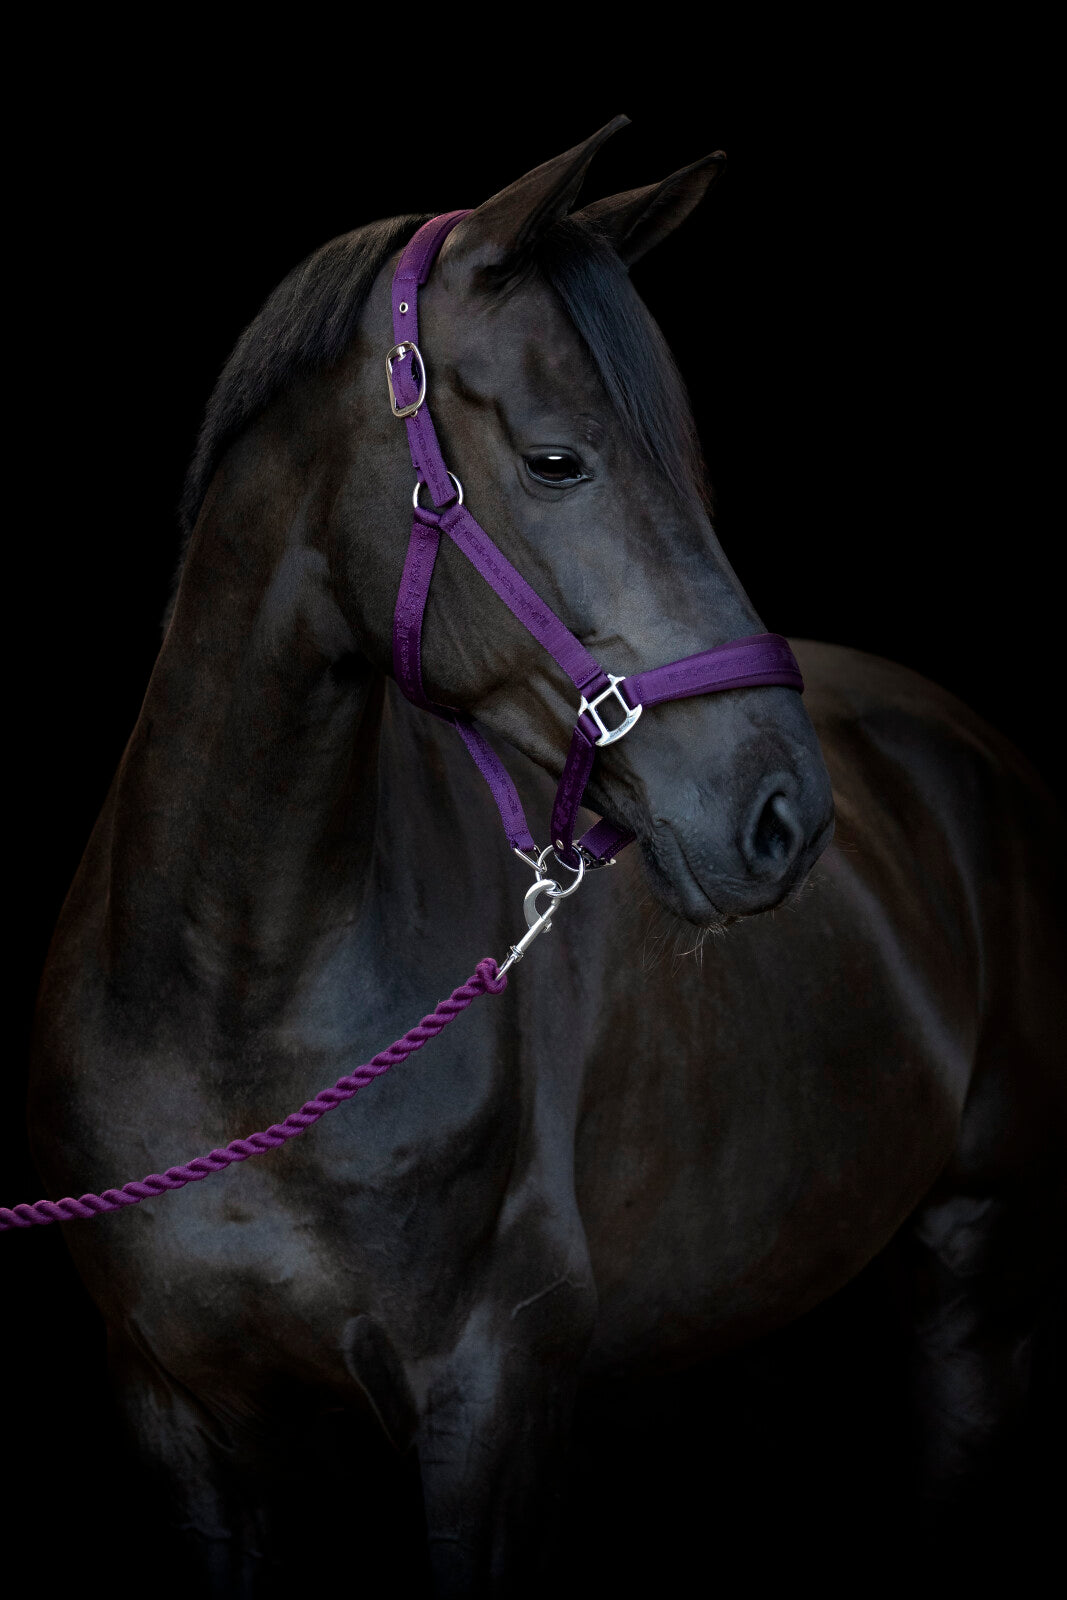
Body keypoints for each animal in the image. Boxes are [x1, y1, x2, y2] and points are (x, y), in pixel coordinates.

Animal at [24, 117, 1065, 1593]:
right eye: (559, 461)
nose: (780, 815)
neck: (236, 1012)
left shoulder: (490, 1404)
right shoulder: (177, 1413)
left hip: (980, 1283)